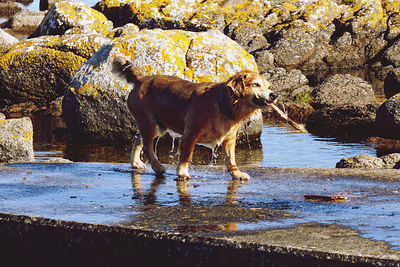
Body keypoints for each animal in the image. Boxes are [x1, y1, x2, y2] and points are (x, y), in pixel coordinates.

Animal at [111, 56, 276, 181]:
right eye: (256, 84)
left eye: (269, 87)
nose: (274, 95)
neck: (223, 103)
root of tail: (141, 79)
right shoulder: (190, 134)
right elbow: (186, 156)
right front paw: (182, 172)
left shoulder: (229, 139)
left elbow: (231, 159)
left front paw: (236, 174)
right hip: (149, 123)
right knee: (147, 146)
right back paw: (157, 166)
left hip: (158, 126)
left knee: (138, 140)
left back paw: (135, 162)